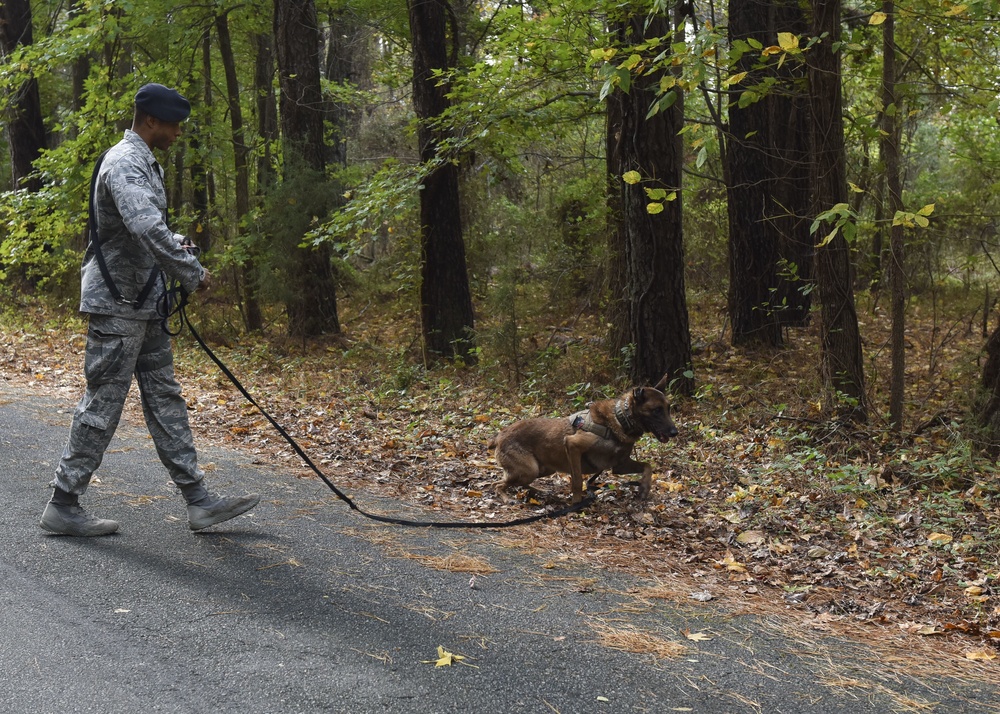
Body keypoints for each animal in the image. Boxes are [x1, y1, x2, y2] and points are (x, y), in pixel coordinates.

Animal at [488, 376, 676, 504]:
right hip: (529, 470)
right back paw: (507, 498)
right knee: (497, 484)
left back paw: (540, 491)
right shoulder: (573, 446)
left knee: (512, 483)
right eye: (657, 410)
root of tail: (499, 435)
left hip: (544, 469)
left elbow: (647, 466)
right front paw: (576, 504)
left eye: (668, 408)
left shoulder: (619, 466)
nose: (675, 432)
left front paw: (644, 487)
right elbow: (578, 481)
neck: (620, 420)